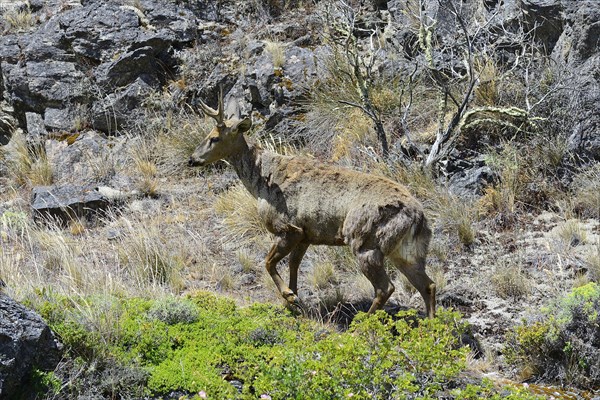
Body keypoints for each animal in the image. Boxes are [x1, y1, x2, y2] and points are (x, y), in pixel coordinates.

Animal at [189, 92, 436, 318]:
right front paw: (293, 302)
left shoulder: (289, 228)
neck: (263, 181)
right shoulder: (307, 234)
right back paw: (431, 326)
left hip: (366, 242)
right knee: (428, 285)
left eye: (214, 138)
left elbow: (268, 262)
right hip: (407, 250)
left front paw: (289, 296)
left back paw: (361, 325)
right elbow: (293, 264)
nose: (192, 159)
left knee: (386, 287)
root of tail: (417, 216)